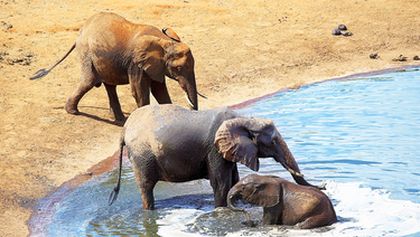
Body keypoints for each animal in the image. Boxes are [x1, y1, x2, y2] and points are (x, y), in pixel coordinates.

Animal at [31, 11, 199, 122]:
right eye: (178, 69)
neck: (165, 40)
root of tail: (81, 32)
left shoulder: (156, 66)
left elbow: (159, 90)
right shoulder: (136, 64)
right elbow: (139, 92)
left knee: (109, 86)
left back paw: (118, 119)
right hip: (87, 54)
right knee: (88, 81)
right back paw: (73, 111)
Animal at [108, 103, 322, 209]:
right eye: (274, 141)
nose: (325, 186)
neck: (244, 119)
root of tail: (124, 129)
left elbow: (233, 179)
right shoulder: (214, 149)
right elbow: (221, 183)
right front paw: (221, 210)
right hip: (142, 156)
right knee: (146, 187)